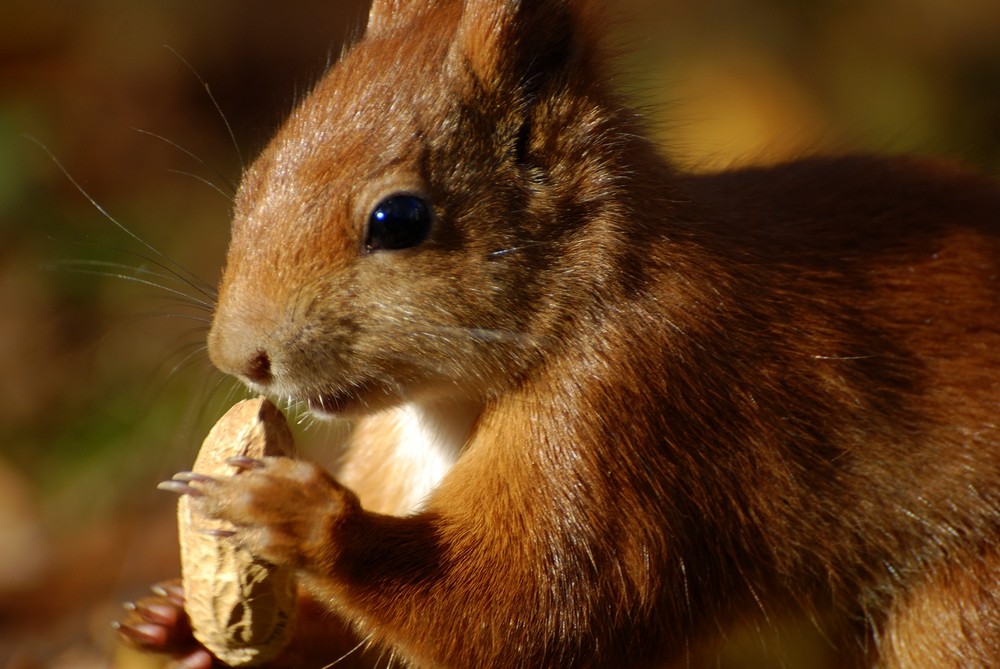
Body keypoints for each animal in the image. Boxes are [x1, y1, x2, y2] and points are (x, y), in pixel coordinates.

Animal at [117, 1, 1000, 668]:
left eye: (398, 219)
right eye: (252, 178)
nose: (237, 357)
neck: (447, 406)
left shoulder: (629, 410)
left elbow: (535, 610)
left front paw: (300, 513)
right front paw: (176, 624)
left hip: (959, 609)